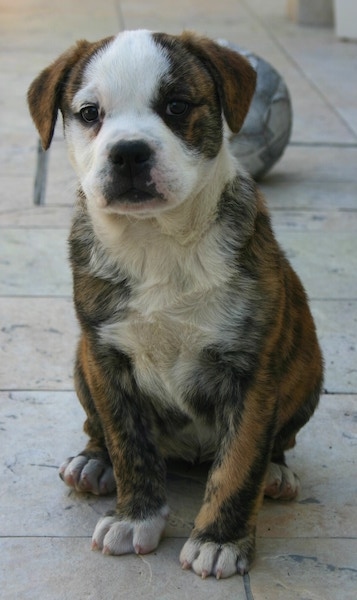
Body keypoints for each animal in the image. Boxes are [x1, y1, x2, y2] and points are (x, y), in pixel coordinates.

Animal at [28, 30, 322, 580]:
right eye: (89, 113)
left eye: (176, 106)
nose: (128, 154)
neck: (156, 242)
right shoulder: (107, 358)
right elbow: (129, 444)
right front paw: (135, 517)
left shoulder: (250, 372)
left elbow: (240, 462)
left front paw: (220, 541)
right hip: (80, 362)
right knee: (99, 428)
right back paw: (92, 462)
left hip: (309, 371)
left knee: (277, 443)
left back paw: (277, 473)